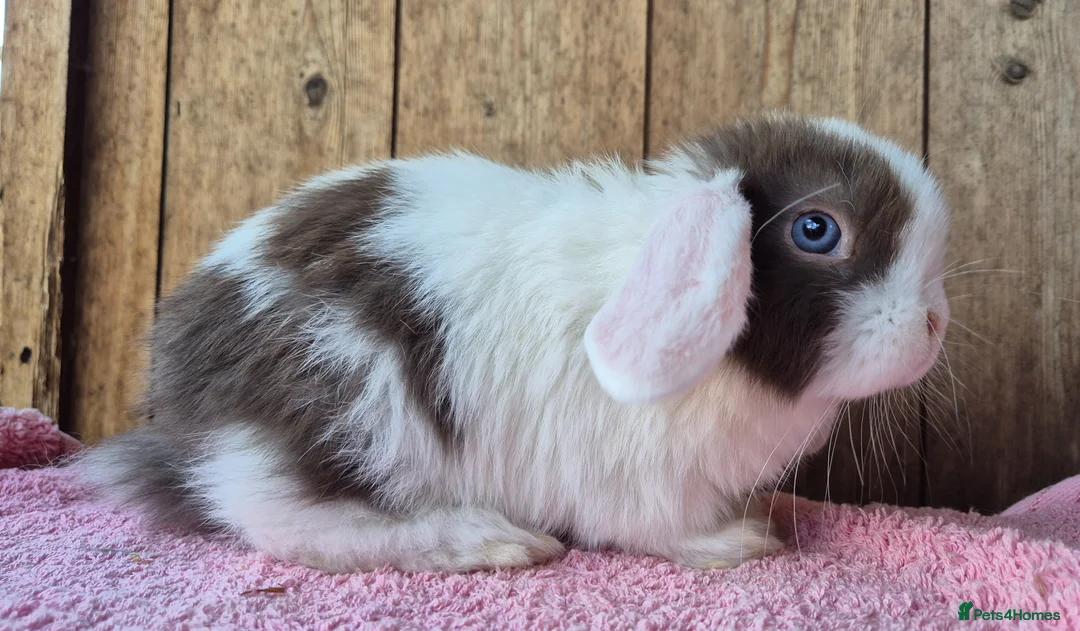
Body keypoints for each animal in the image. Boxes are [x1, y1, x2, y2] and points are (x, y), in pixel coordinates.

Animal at [78, 111, 951, 574]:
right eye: (818, 230)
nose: (935, 324)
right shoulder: (639, 480)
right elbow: (660, 528)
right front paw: (740, 541)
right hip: (352, 407)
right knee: (291, 522)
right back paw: (491, 540)